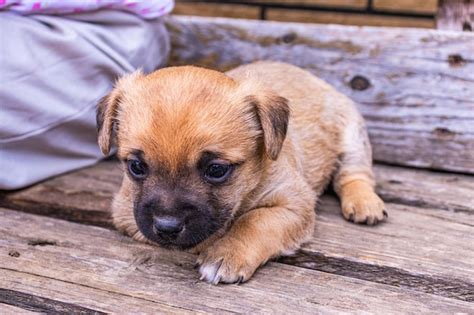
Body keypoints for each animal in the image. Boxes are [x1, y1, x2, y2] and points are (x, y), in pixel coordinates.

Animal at [95, 61, 386, 286]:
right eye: (136, 166)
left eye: (216, 170)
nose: (167, 227)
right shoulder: (126, 212)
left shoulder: (293, 203)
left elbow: (254, 221)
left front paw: (227, 252)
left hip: (352, 137)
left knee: (354, 175)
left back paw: (364, 202)